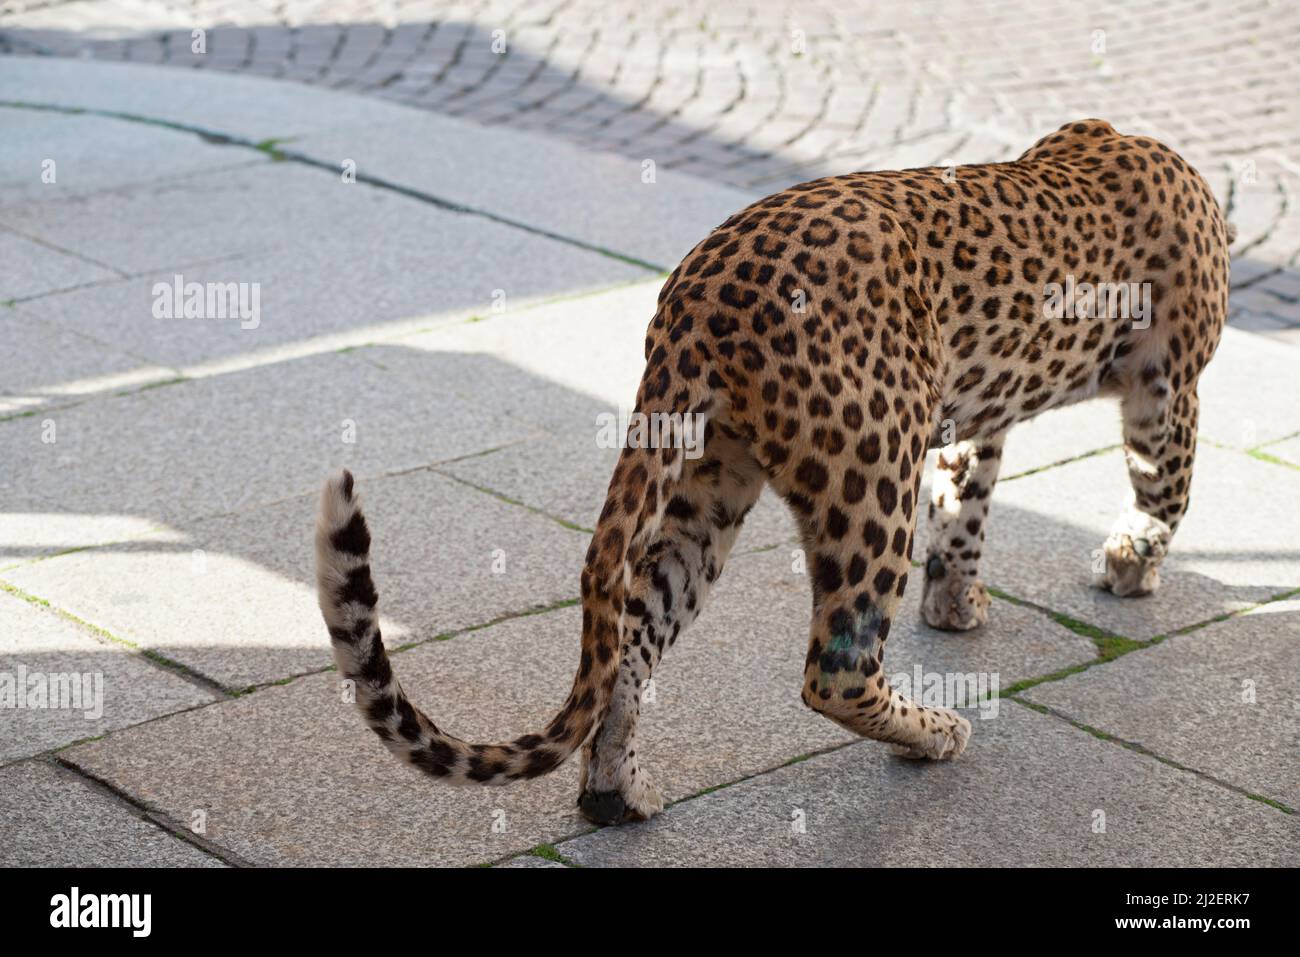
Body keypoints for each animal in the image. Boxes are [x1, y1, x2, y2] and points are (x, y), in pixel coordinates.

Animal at [315, 119, 1231, 826]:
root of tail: (696, 297)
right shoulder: (1169, 382)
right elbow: (1168, 486)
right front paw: (1130, 566)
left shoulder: (974, 418)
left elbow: (965, 499)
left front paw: (956, 600)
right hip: (872, 471)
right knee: (836, 666)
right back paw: (935, 733)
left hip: (707, 484)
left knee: (631, 640)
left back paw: (616, 791)